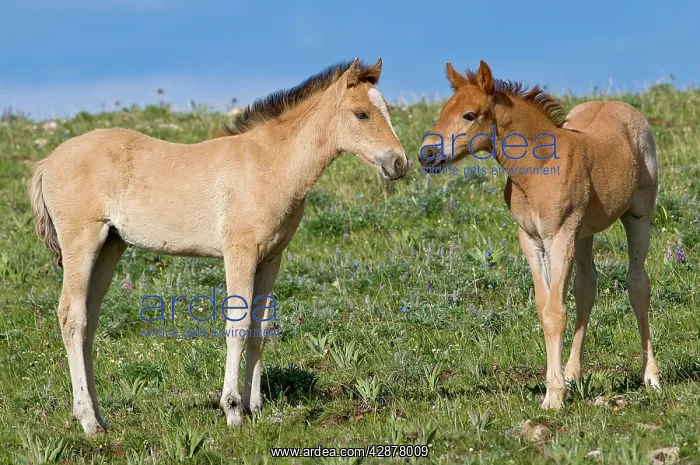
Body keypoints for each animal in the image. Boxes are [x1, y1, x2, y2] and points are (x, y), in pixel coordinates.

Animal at [30, 58, 407, 434]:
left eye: (387, 109)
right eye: (361, 114)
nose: (399, 163)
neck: (268, 165)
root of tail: (46, 163)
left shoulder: (271, 258)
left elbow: (259, 328)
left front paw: (256, 407)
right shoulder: (240, 252)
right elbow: (236, 326)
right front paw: (233, 410)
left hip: (111, 246)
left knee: (89, 321)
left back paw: (99, 416)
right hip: (82, 242)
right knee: (73, 318)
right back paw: (88, 421)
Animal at [419, 60, 660, 409]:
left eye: (469, 114)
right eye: (443, 111)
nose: (427, 154)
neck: (538, 169)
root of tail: (618, 105)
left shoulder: (559, 237)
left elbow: (555, 311)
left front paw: (553, 397)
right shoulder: (531, 240)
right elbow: (545, 308)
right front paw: (557, 386)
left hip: (638, 214)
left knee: (638, 283)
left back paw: (651, 376)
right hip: (583, 234)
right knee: (586, 287)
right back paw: (574, 374)